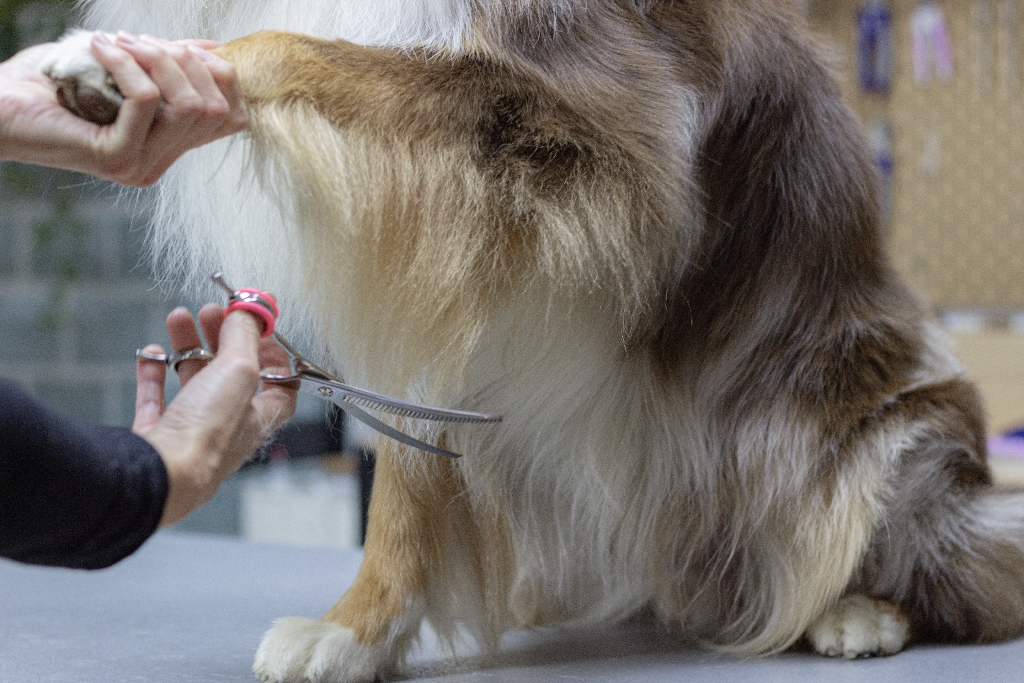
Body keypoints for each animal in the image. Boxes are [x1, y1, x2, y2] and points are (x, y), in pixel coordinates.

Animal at [39, 0, 1024, 679]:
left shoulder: (604, 137)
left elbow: (291, 45)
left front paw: (135, 65)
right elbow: (407, 473)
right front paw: (355, 630)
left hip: (876, 431)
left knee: (974, 575)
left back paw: (859, 611)